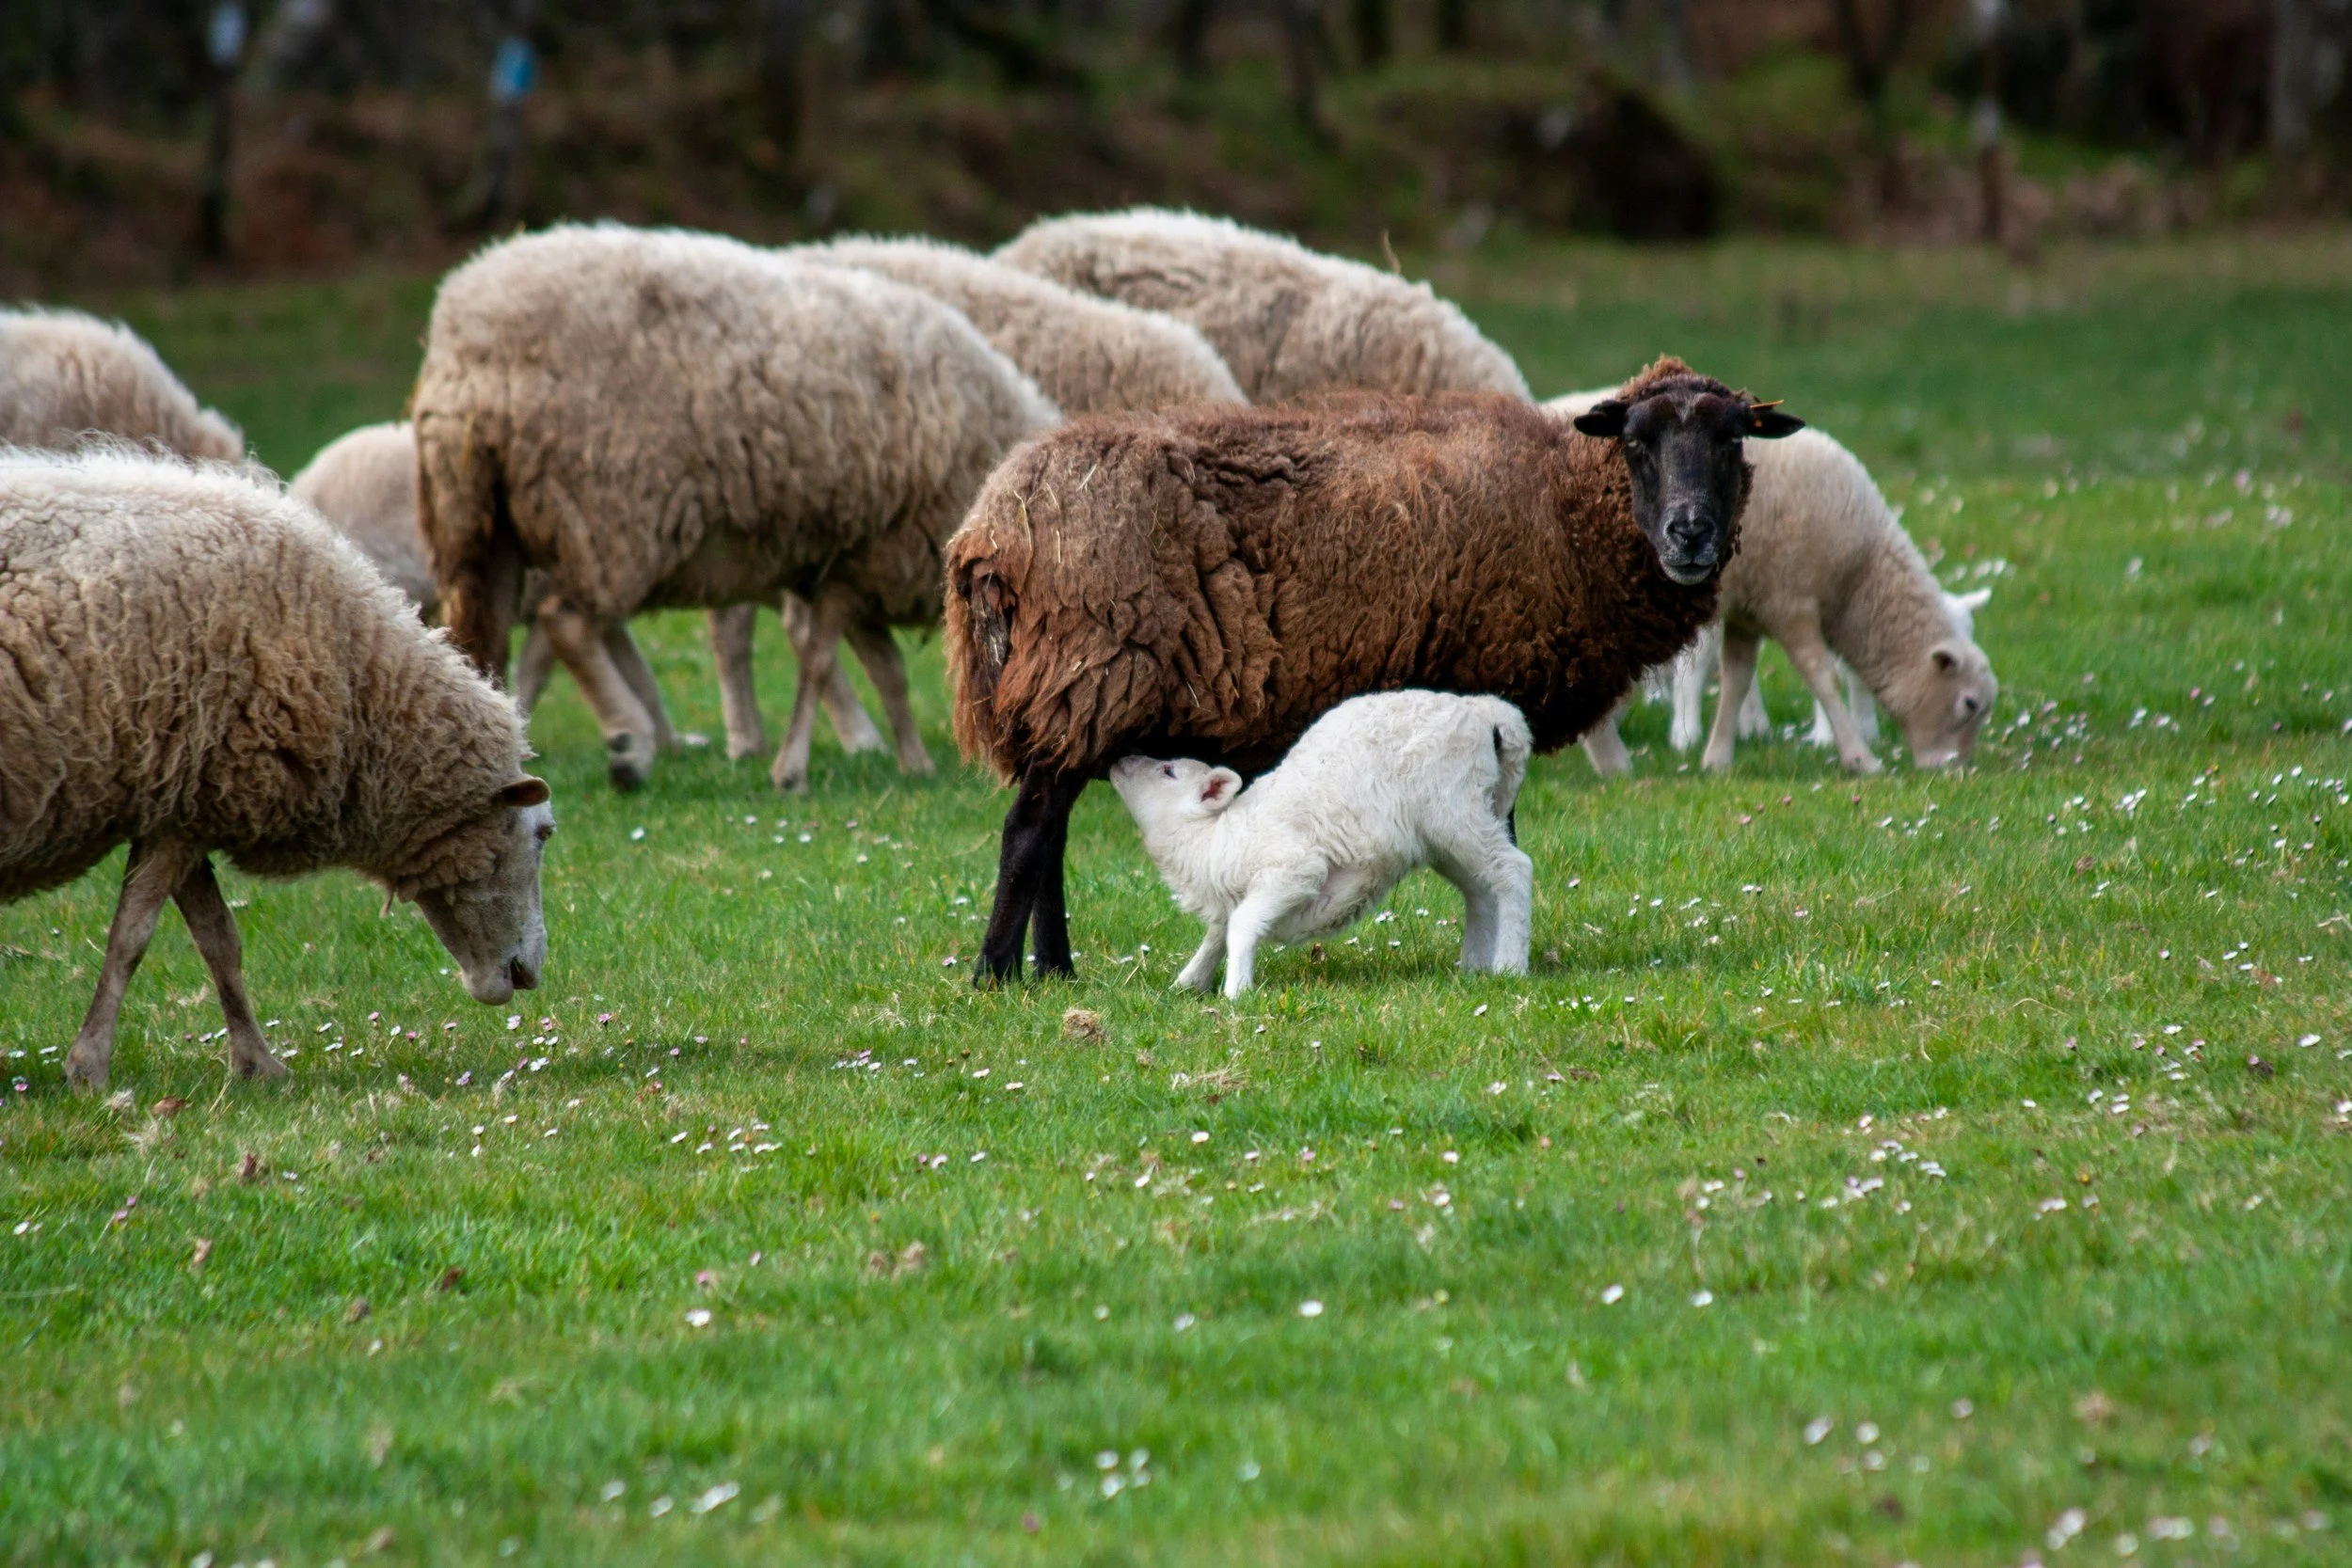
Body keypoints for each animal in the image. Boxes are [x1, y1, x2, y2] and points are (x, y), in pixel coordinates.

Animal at [0, 449, 554, 1092]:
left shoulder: (182, 802)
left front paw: (256, 1065)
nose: (531, 971)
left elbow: (219, 940)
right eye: (543, 834)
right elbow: (132, 941)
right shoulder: (189, 798)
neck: (359, 687)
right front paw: (89, 1067)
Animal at [411, 224, 1058, 792]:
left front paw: (911, 760)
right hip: (607, 511)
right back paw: (629, 742)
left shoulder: (858, 564)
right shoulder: (870, 553)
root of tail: (464, 346)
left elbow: (885, 669)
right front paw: (797, 770)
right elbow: (827, 659)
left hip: (479, 523)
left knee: (486, 638)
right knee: (565, 620)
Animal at [1111, 689, 1534, 998]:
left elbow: (1241, 923)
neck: (1212, 839)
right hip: (1447, 831)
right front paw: (1188, 982)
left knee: (1513, 869)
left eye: (1169, 771)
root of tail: (1481, 711)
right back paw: (1474, 967)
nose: (1120, 759)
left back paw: (1510, 966)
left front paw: (1236, 993)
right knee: (1480, 890)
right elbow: (1221, 930)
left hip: (1454, 807)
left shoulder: (1293, 868)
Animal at [1549, 392, 1997, 775]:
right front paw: (1860, 758)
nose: (1956, 771)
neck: (1857, 571)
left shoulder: (1749, 612)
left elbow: (1737, 680)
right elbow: (1824, 677)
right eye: (1969, 704)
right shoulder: (1789, 600)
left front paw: (1718, 759)